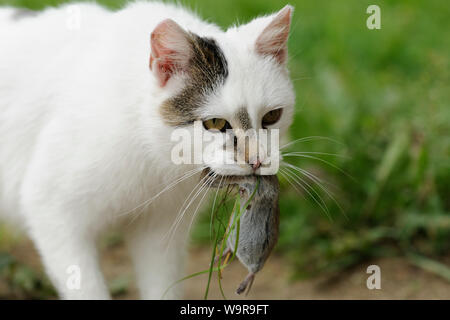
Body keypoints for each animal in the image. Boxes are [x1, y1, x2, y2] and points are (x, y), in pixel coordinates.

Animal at [0, 1, 296, 298]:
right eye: (215, 123)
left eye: (272, 117)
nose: (257, 160)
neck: (153, 151)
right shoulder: (51, 209)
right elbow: (87, 287)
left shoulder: (161, 230)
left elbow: (162, 285)